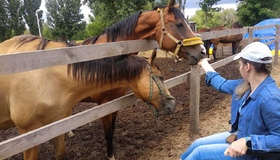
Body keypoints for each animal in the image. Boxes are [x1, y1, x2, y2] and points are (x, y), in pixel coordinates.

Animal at [80, 0, 205, 159]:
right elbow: (108, 133)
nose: (202, 51)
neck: (107, 55)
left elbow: (112, 129)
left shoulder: (114, 102)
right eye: (179, 24)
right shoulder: (103, 105)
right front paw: (110, 155)